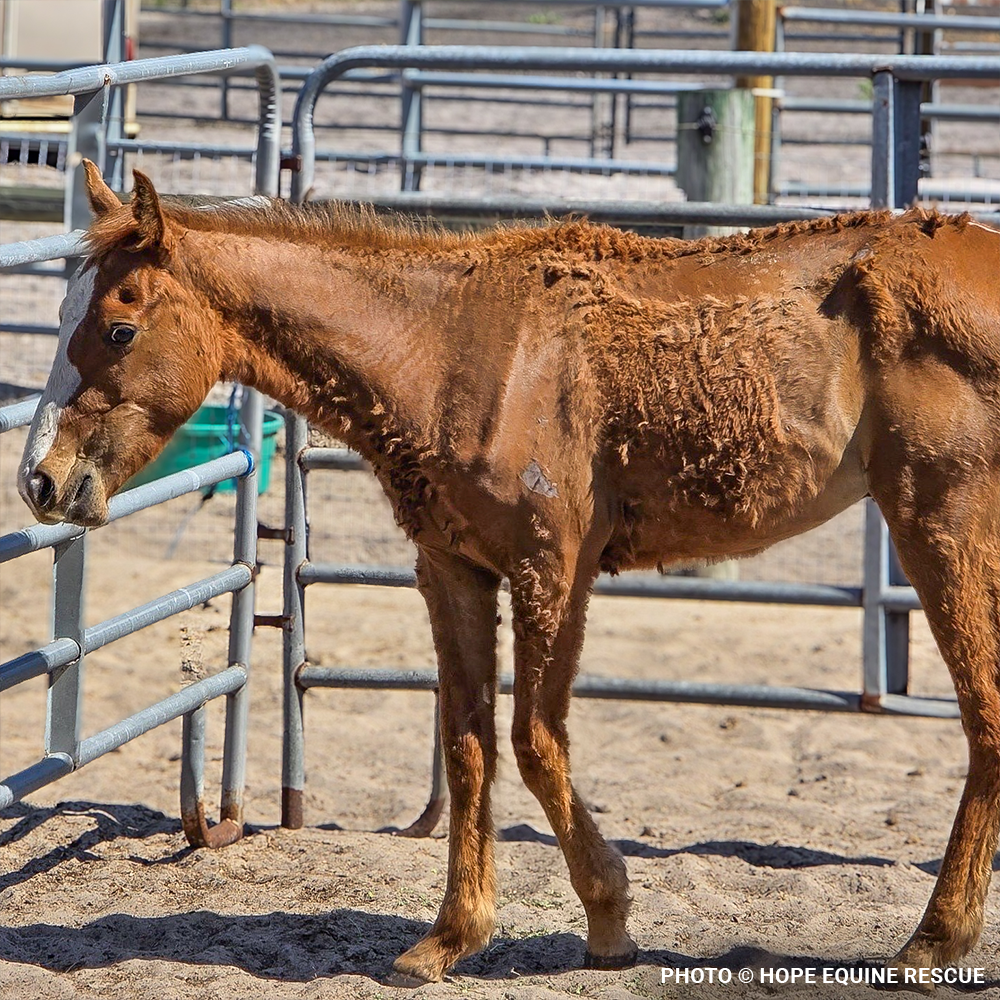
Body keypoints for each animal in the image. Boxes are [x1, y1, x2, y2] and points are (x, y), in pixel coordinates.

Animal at [18, 161, 999, 984]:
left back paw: (935, 938)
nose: (39, 482)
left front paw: (608, 915)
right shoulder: (453, 572)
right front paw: (451, 936)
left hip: (940, 527)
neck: (448, 348)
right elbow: (468, 745)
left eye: (118, 328)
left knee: (985, 715)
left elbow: (533, 738)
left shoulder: (550, 570)